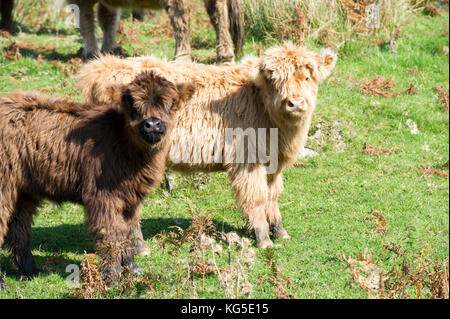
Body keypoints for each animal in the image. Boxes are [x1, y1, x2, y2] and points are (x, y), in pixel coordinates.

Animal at [0, 70, 192, 282]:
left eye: (170, 102)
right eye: (132, 104)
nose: (152, 124)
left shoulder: (131, 201)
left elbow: (128, 233)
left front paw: (132, 268)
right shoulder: (103, 196)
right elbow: (110, 234)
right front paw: (113, 278)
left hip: (22, 191)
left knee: (18, 229)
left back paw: (31, 270)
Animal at [78, 42, 338, 249]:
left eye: (307, 77)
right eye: (274, 80)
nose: (295, 103)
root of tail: (104, 67)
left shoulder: (273, 165)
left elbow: (272, 197)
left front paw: (280, 232)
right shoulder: (247, 162)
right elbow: (256, 199)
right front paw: (263, 239)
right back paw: (138, 246)